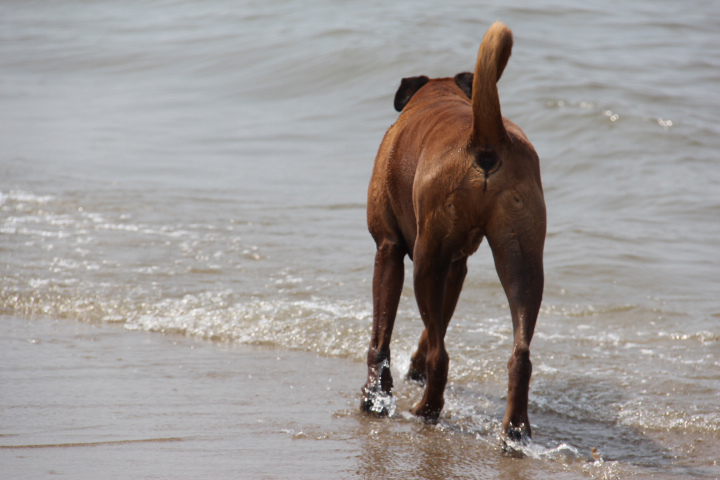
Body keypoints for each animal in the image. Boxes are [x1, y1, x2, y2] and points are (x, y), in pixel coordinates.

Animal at [362, 22, 544, 442]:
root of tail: (485, 135)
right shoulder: (456, 264)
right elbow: (437, 324)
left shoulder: (388, 249)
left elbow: (381, 338)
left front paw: (375, 396)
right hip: (522, 260)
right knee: (519, 353)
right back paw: (514, 429)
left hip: (425, 263)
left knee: (441, 355)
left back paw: (427, 409)